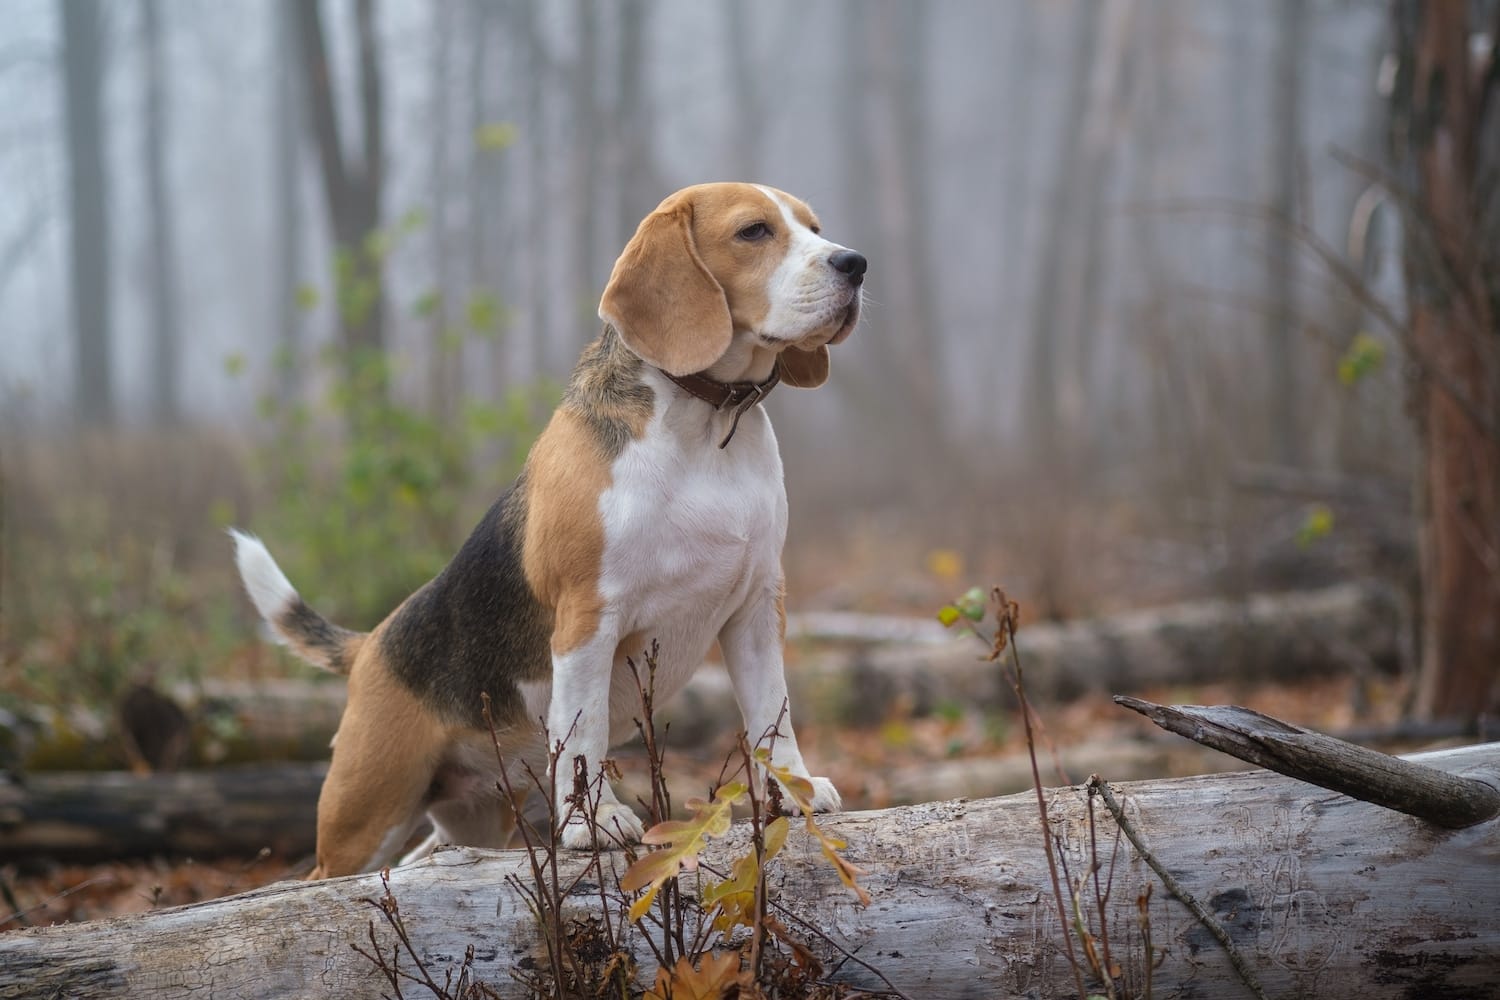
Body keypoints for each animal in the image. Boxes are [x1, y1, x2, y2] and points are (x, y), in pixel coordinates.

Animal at [234, 183, 870, 881]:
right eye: (753, 232)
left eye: (815, 228)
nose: (855, 264)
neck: (706, 425)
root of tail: (371, 643)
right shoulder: (588, 618)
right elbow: (583, 729)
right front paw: (598, 823)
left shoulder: (756, 608)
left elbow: (770, 715)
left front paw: (794, 791)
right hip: (366, 813)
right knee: (324, 879)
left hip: (476, 819)